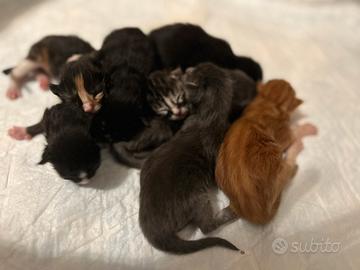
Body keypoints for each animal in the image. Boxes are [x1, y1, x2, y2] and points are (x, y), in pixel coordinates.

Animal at [138, 63, 253, 255]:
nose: (187, 68)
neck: (209, 116)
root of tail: (153, 228)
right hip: (197, 197)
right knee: (206, 227)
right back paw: (231, 211)